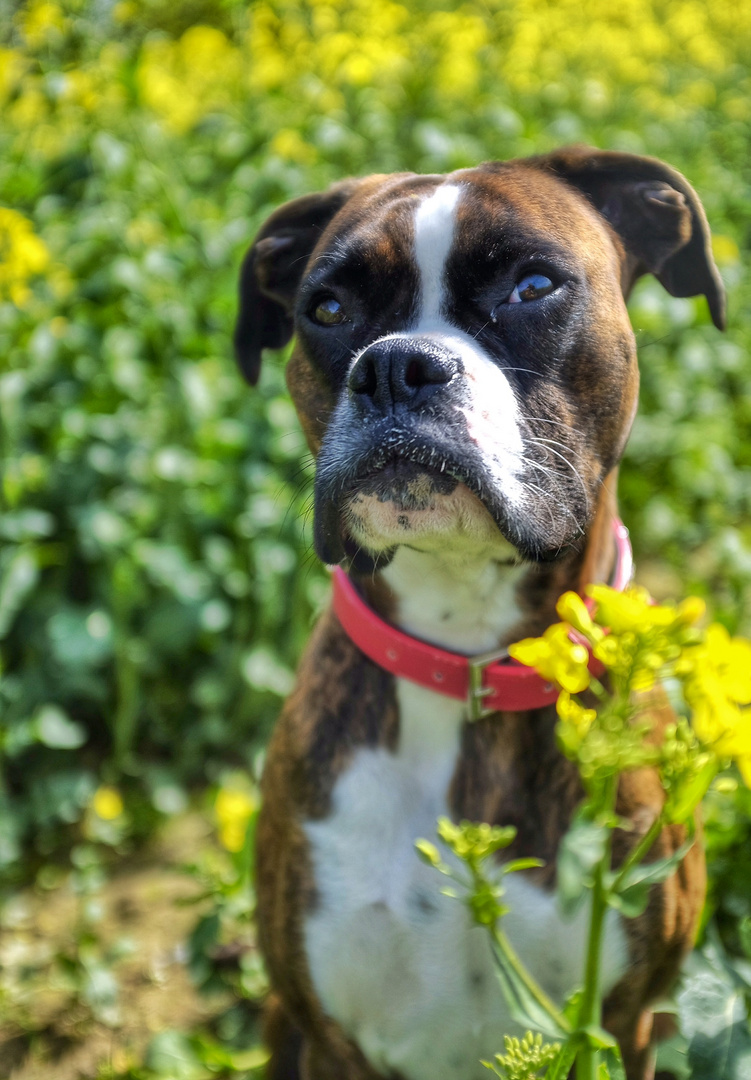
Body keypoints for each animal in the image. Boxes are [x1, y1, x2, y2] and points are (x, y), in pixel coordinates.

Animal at [233, 145, 721, 1080]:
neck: (463, 656)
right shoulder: (332, 1040)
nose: (395, 365)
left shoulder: (625, 1024)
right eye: (327, 309)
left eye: (531, 287)